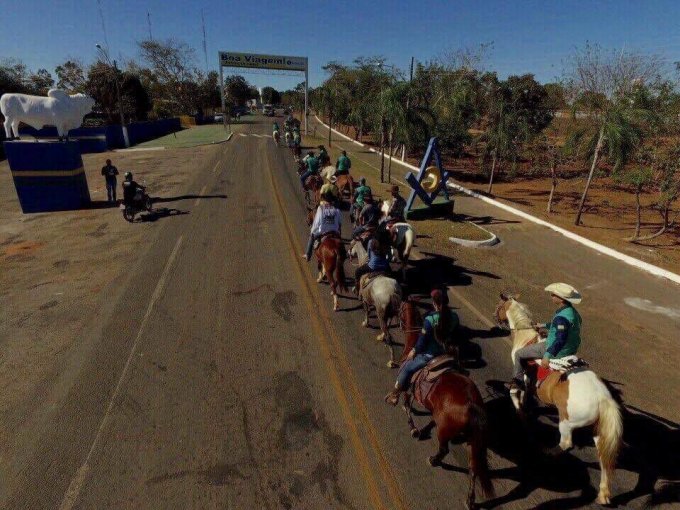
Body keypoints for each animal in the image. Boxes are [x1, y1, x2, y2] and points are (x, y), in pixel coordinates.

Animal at [394, 296, 494, 508]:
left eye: (399, 308)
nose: (396, 322)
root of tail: (472, 405)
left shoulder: (406, 383)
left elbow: (406, 405)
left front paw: (414, 428)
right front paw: (422, 428)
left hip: (445, 432)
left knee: (444, 449)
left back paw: (433, 460)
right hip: (472, 440)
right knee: (473, 466)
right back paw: (470, 499)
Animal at [494, 292, 620, 504]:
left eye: (499, 307)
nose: (496, 318)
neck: (526, 337)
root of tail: (603, 398)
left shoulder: (521, 372)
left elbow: (516, 394)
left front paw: (521, 414)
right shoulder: (530, 382)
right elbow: (527, 394)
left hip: (567, 423)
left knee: (566, 443)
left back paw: (547, 451)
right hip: (597, 430)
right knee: (603, 457)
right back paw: (603, 494)